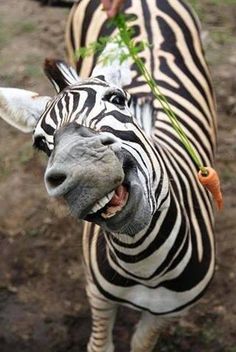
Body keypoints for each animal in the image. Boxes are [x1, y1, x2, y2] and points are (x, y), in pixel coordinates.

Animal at [0, 0, 217, 352]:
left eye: (117, 99)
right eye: (42, 143)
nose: (85, 173)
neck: (145, 264)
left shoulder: (169, 313)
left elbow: (142, 344)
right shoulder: (98, 296)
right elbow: (100, 345)